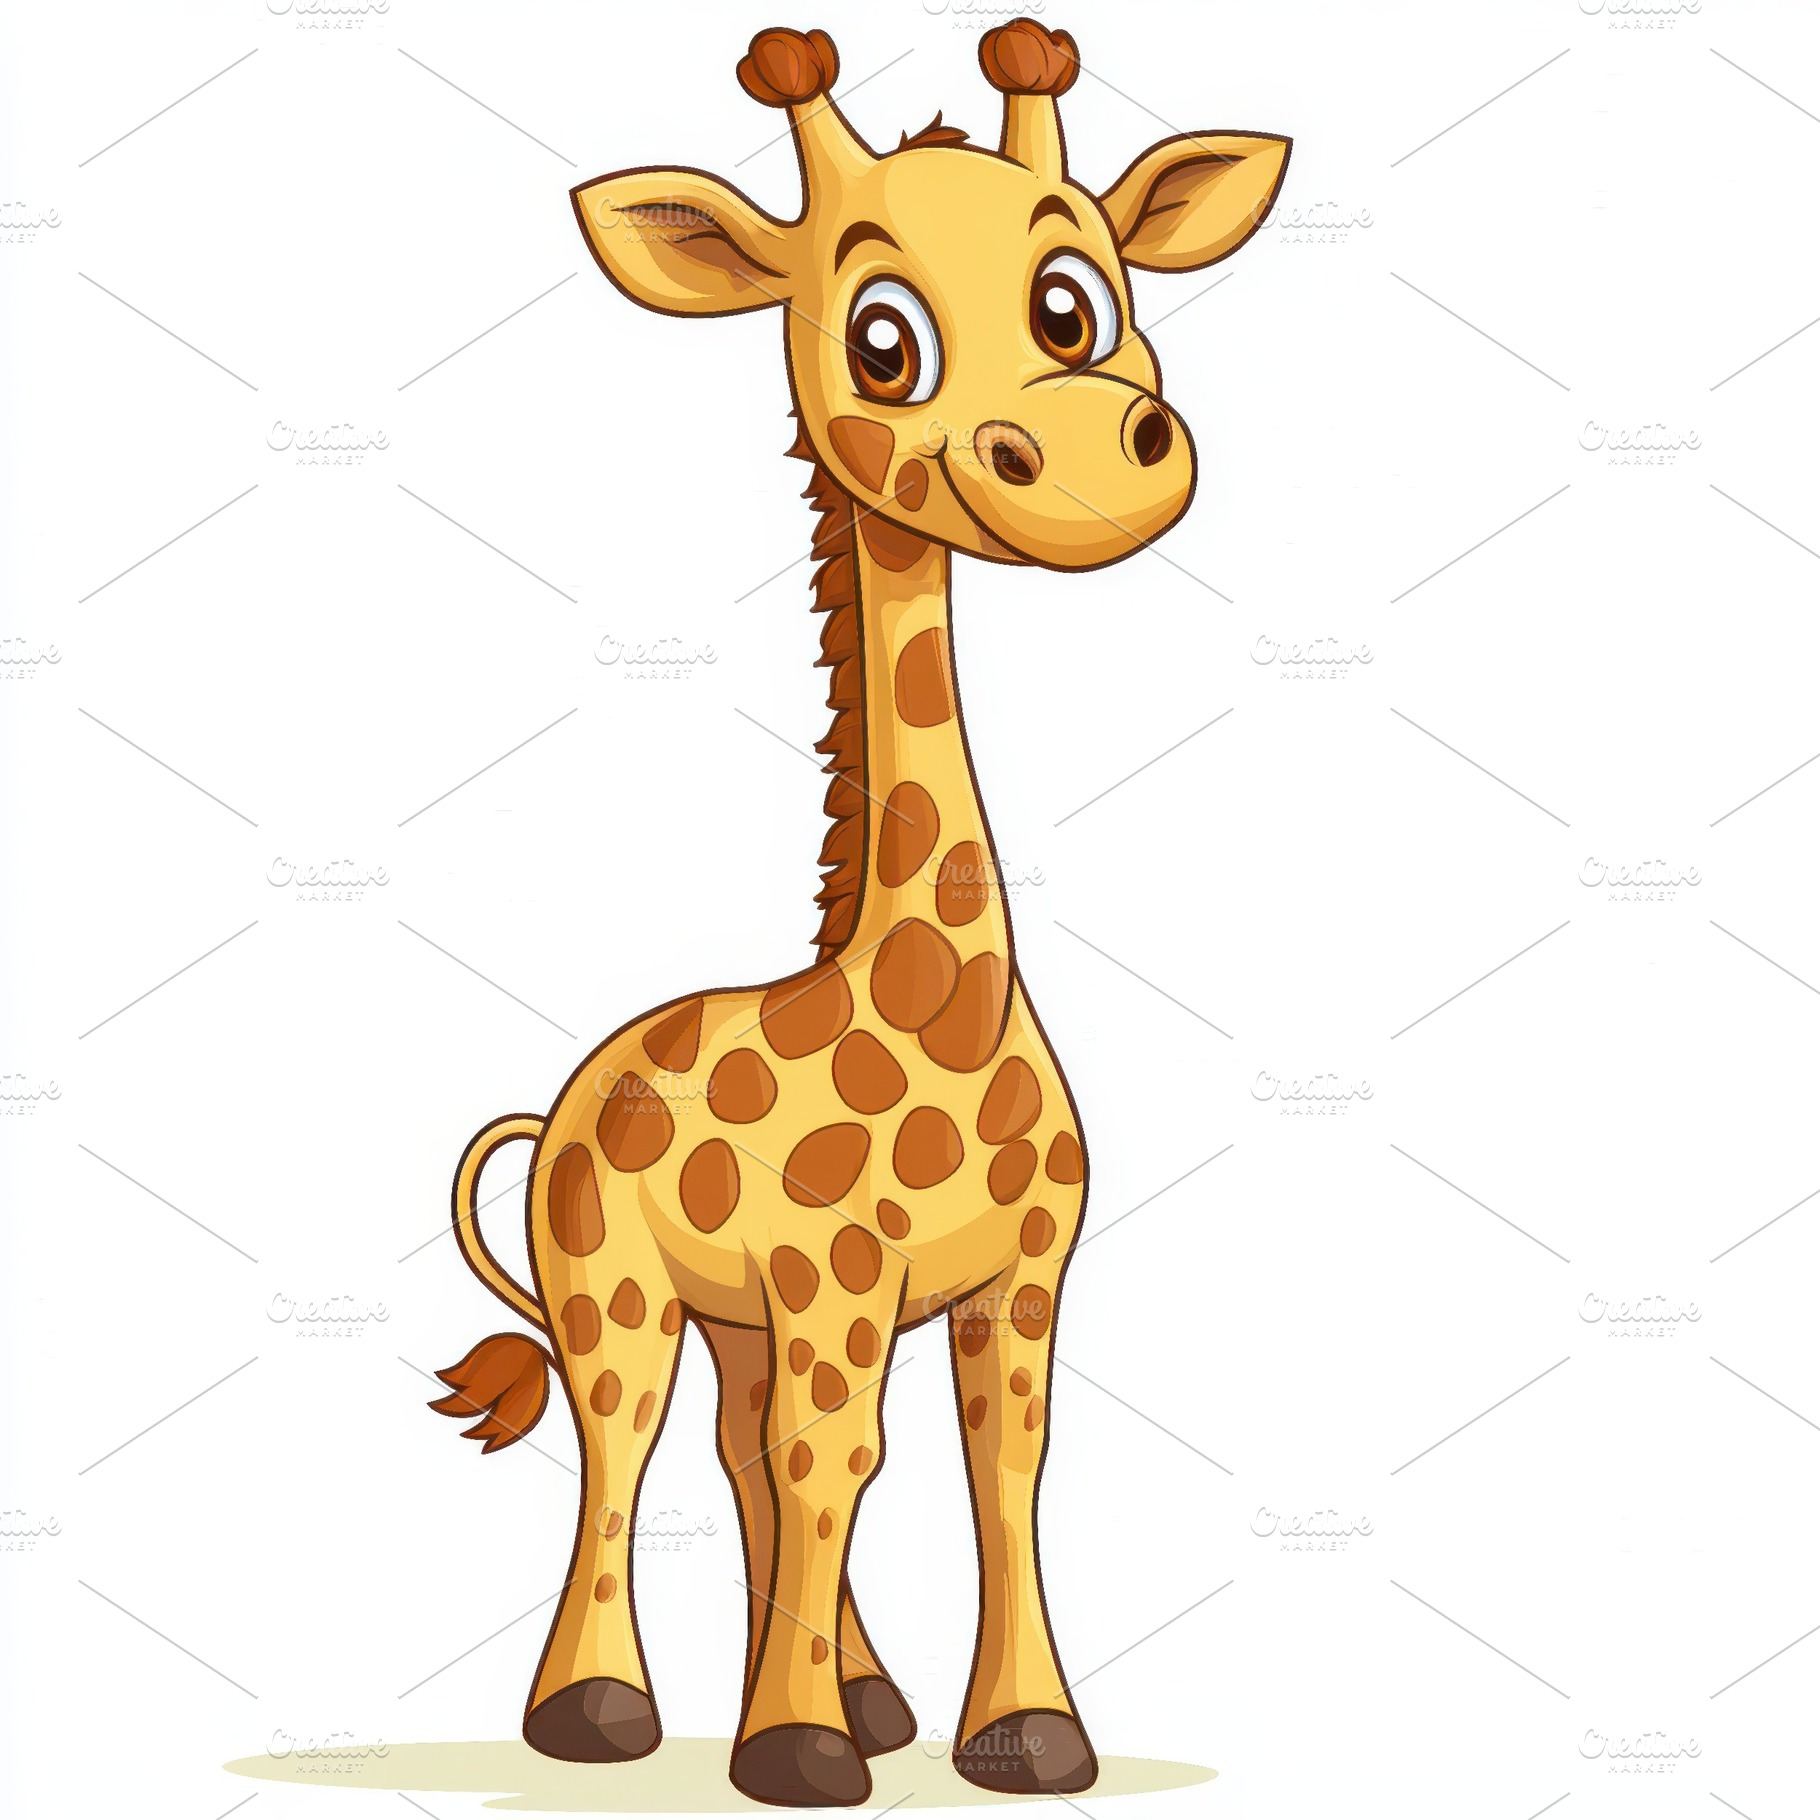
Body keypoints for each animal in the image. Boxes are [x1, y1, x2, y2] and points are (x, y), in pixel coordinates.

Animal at [429, 18, 1288, 1808]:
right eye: (880, 336)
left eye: (1073, 297)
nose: (1095, 453)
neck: (931, 1003)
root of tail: (564, 1096)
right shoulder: (838, 1283)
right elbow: (845, 1458)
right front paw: (797, 1751)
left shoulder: (1017, 1278)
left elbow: (999, 1462)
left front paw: (1019, 1735)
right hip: (617, 1285)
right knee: (631, 1442)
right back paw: (602, 1712)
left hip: (738, 1313)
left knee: (737, 1452)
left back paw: (864, 1695)